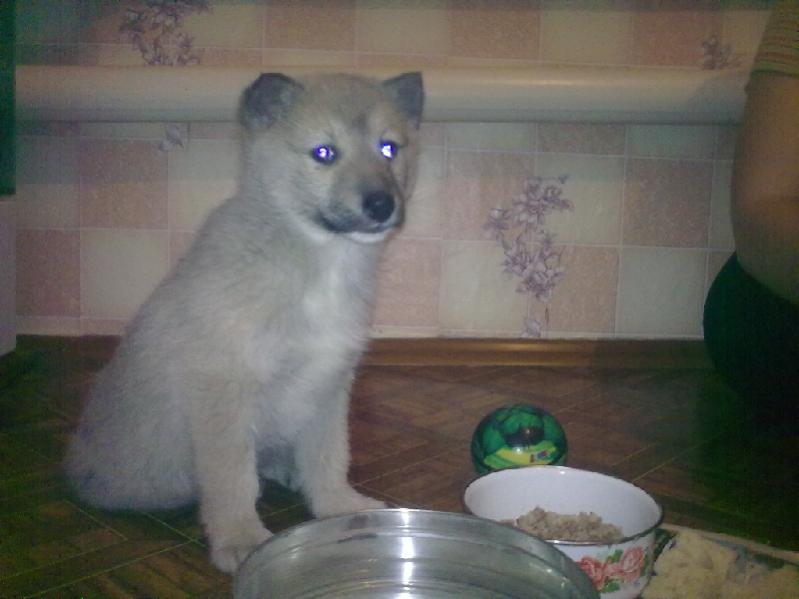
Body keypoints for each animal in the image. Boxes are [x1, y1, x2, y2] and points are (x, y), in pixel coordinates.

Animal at [64, 71, 424, 573]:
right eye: (324, 153)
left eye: (389, 147)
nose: (380, 204)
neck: (317, 260)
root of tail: (75, 460)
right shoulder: (224, 392)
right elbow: (232, 477)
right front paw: (240, 538)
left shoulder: (329, 384)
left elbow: (329, 455)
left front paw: (339, 507)